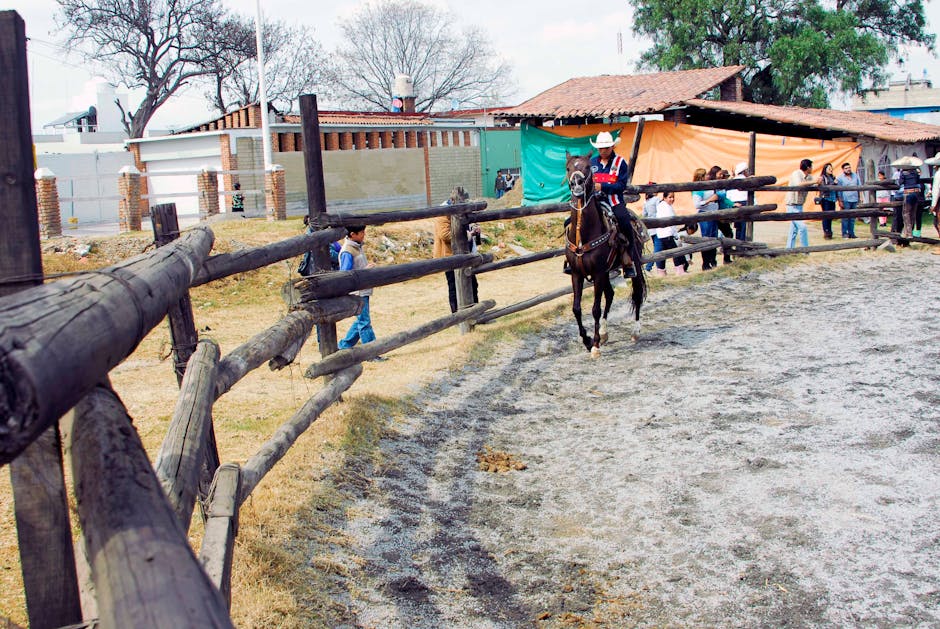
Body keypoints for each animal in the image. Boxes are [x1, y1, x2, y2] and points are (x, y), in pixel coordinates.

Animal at [564, 151, 648, 354]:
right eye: (568, 168)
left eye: (587, 167)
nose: (576, 184)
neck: (583, 234)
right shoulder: (577, 274)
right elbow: (576, 308)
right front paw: (587, 340)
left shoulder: (598, 273)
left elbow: (595, 309)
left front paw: (594, 345)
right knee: (609, 295)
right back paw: (604, 333)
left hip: (634, 264)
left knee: (637, 293)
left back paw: (635, 331)